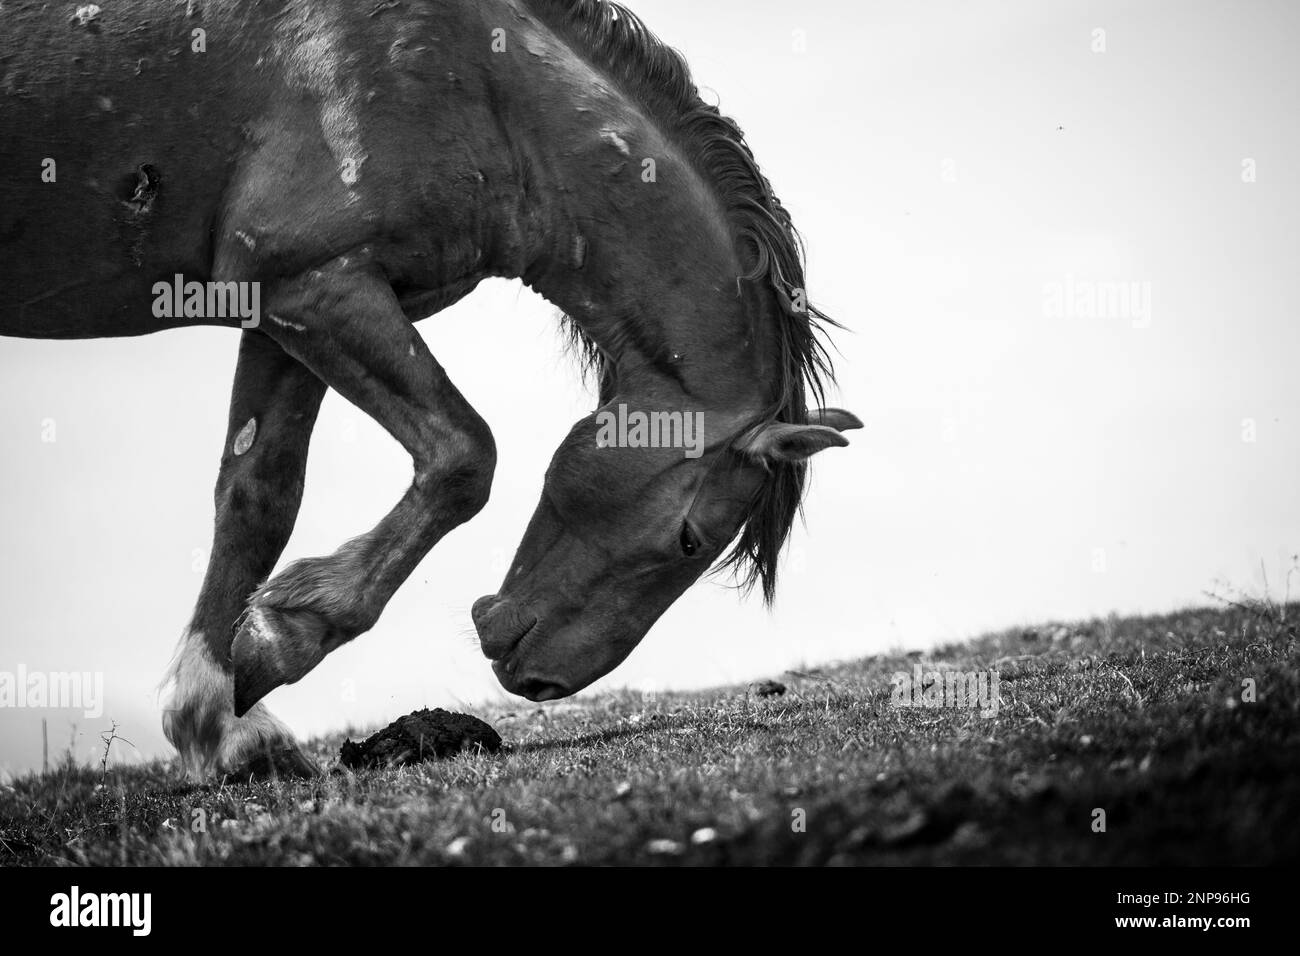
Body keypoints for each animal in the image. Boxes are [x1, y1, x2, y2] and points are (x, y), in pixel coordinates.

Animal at [2, 0, 863, 780]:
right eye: (688, 540)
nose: (540, 680)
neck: (479, 84)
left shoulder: (283, 306)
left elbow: (257, 499)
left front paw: (222, 721)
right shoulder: (318, 288)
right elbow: (463, 458)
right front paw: (289, 629)